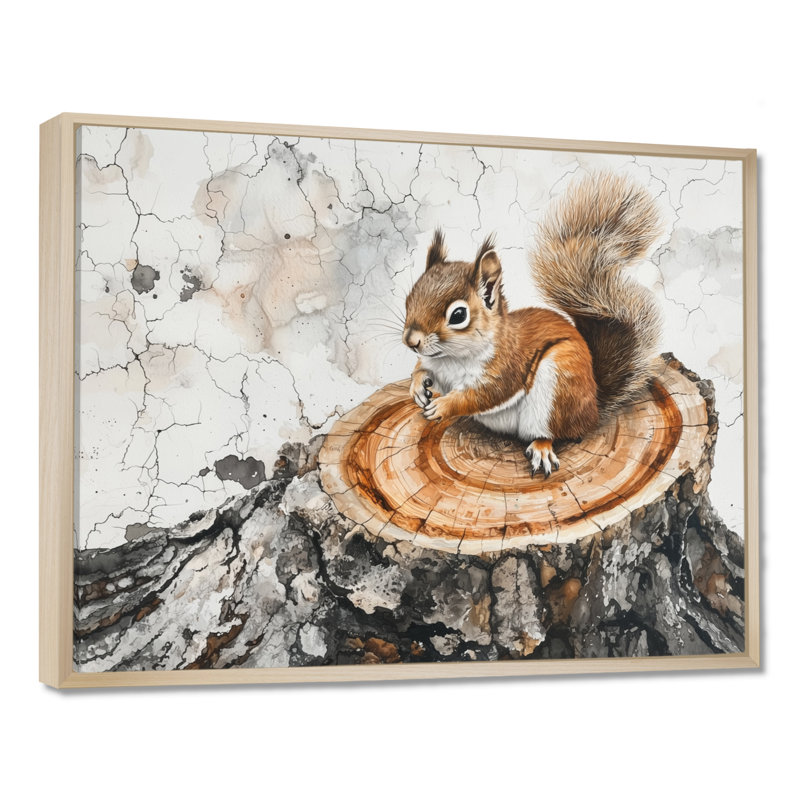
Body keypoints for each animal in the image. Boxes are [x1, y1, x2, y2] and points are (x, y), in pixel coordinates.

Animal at [402, 172, 663, 476]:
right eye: (410, 297)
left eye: (458, 315)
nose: (411, 341)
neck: (451, 358)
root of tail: (594, 408)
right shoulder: (434, 364)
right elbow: (421, 369)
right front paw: (418, 387)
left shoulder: (506, 368)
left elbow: (481, 396)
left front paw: (444, 405)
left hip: (556, 388)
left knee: (552, 432)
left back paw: (542, 448)